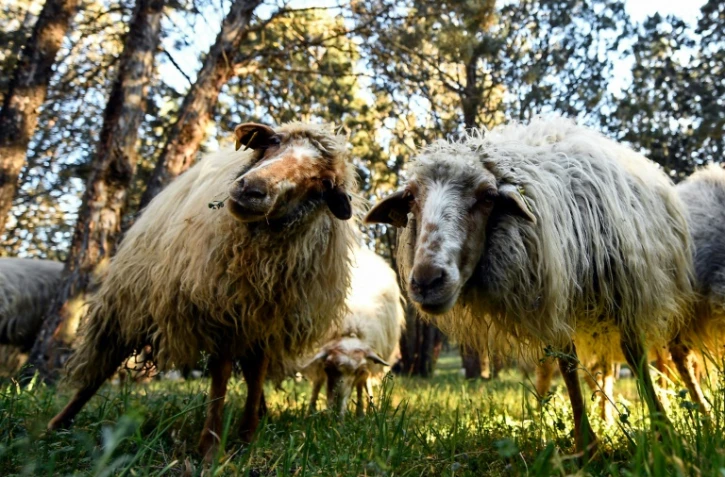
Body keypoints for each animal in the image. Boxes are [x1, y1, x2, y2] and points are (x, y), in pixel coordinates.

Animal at [48, 122, 359, 460]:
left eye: (323, 182)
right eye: (274, 141)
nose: (252, 189)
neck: (257, 258)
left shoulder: (267, 322)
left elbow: (256, 375)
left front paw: (247, 438)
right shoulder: (221, 312)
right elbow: (221, 376)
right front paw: (211, 448)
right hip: (128, 300)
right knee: (102, 365)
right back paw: (58, 424)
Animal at [301, 246, 405, 416]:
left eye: (357, 371)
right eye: (329, 368)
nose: (336, 412)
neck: (351, 326)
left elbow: (362, 384)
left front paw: (361, 412)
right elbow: (318, 382)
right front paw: (311, 410)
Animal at [365, 116, 694, 453]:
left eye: (487, 196)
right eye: (411, 198)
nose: (427, 281)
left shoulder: (623, 292)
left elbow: (635, 356)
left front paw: (664, 434)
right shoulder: (553, 302)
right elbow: (567, 365)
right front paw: (586, 445)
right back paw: (606, 415)